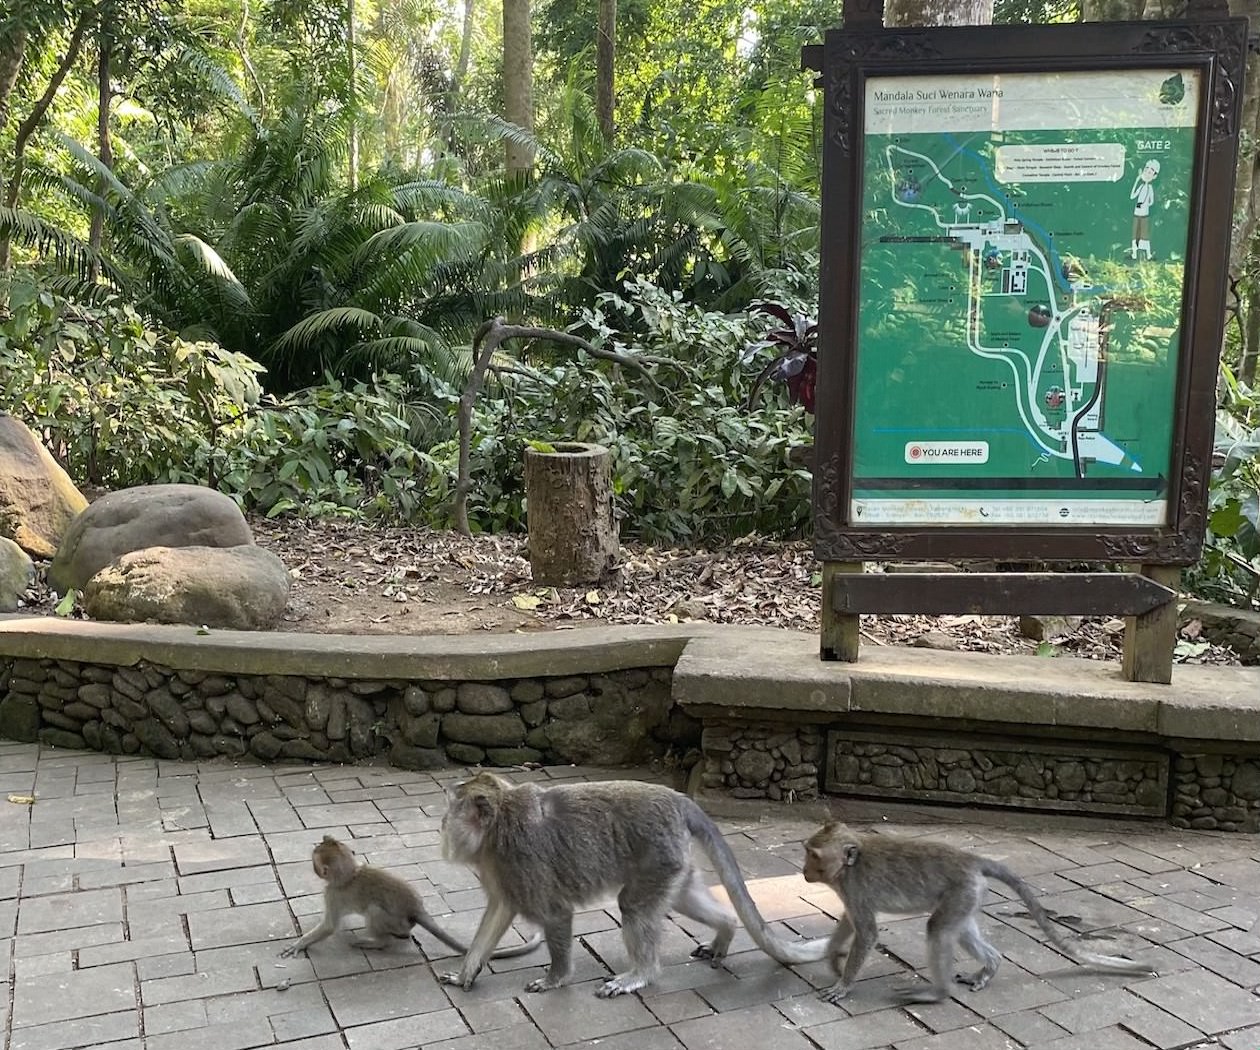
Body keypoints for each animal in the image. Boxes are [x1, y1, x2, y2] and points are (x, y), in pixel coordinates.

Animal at [279, 835, 543, 960]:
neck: (351, 872)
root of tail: (417, 909)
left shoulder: (332, 894)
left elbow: (329, 927)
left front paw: (300, 944)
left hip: (393, 920)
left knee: (375, 911)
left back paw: (379, 942)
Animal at [435, 771, 832, 998]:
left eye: (449, 812)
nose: (441, 827)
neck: (497, 828)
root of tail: (679, 800)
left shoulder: (522, 861)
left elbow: (557, 913)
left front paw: (556, 979)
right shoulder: (500, 868)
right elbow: (499, 910)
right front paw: (466, 972)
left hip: (658, 854)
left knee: (635, 906)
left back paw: (641, 974)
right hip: (671, 858)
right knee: (680, 897)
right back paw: (726, 928)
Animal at [801, 821, 1156, 1005]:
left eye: (814, 856)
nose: (804, 871)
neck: (850, 866)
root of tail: (971, 860)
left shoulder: (856, 887)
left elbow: (867, 932)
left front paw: (844, 984)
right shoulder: (848, 891)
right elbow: (850, 923)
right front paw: (832, 956)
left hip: (961, 891)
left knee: (938, 930)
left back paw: (937, 993)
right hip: (968, 896)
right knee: (959, 930)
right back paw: (990, 966)